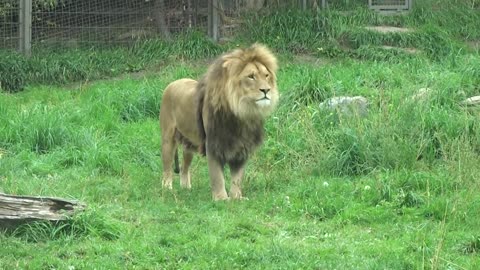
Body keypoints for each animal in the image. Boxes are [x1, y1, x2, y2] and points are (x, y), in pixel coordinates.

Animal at [159, 43, 280, 200]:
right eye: (251, 76)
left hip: (188, 144)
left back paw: (186, 189)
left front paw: (236, 198)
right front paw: (221, 198)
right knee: (167, 168)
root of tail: (173, 83)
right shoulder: (213, 144)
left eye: (266, 75)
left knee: (185, 167)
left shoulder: (242, 147)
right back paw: (167, 189)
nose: (266, 90)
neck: (242, 113)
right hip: (168, 139)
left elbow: (237, 177)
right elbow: (217, 176)